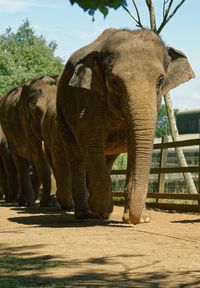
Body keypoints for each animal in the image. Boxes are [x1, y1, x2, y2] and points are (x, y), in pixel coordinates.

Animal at [56, 27, 195, 225]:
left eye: (160, 81)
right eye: (114, 82)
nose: (139, 219)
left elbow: (134, 146)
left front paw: (139, 218)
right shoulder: (88, 99)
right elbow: (89, 140)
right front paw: (103, 209)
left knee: (107, 157)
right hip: (61, 111)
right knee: (76, 155)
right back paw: (86, 214)